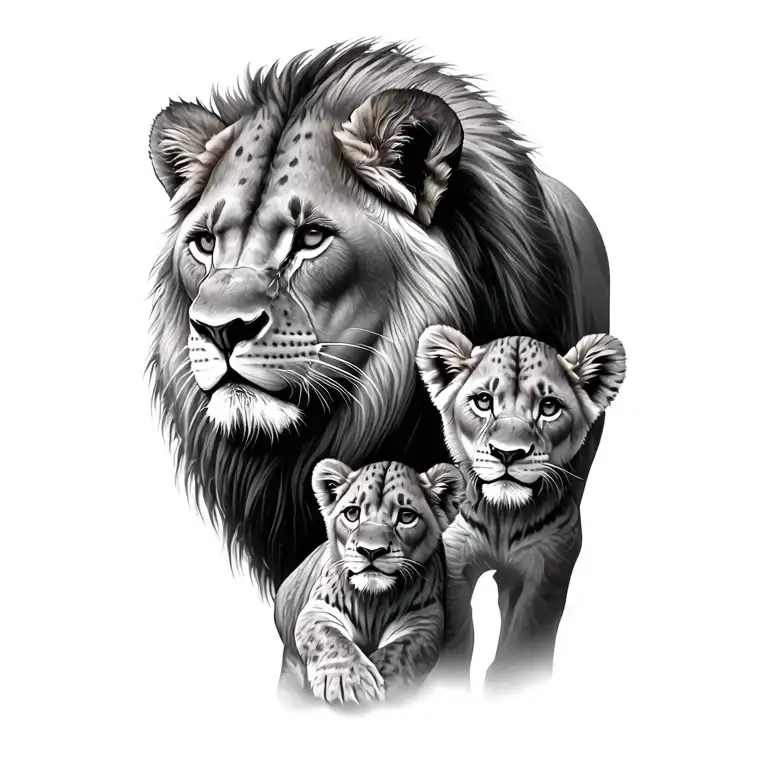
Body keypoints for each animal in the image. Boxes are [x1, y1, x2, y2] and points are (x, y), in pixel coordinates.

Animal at [274, 458, 463, 705]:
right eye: (352, 513)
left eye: (406, 516)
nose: (371, 551)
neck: (374, 602)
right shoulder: (319, 608)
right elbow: (329, 638)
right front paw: (349, 681)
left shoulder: (425, 619)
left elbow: (402, 650)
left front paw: (383, 682)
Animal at [416, 327, 626, 685]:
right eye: (483, 401)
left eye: (549, 406)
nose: (508, 453)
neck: (503, 517)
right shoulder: (454, 562)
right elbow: (456, 633)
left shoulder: (550, 567)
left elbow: (526, 637)